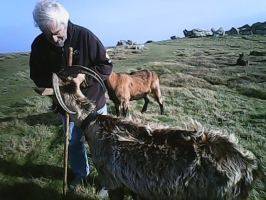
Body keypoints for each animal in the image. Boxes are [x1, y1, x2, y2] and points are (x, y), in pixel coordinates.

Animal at [35, 65, 264, 200]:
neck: (93, 123)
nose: (53, 109)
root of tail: (250, 168)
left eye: (53, 96)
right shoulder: (134, 185)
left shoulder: (113, 179)